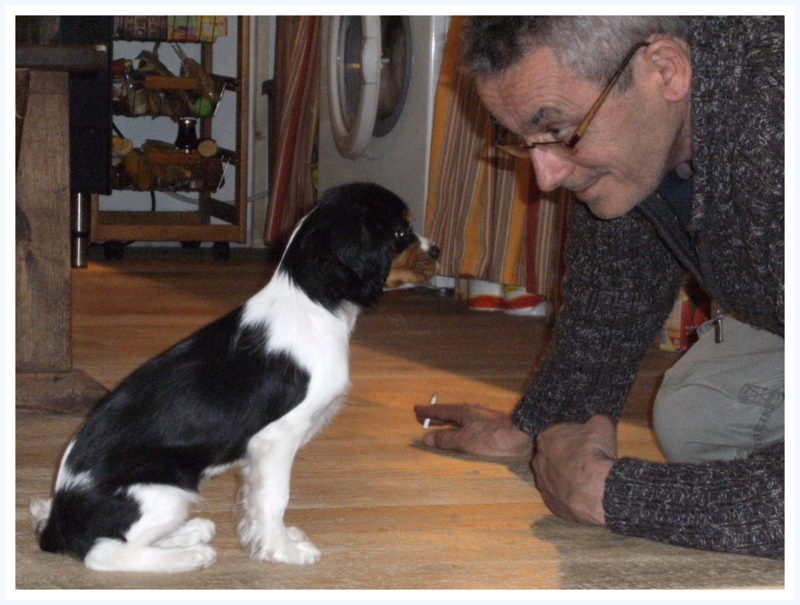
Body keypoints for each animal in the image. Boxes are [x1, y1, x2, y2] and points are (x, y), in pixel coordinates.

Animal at [31, 180, 440, 572]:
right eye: (401, 231)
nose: (437, 251)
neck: (312, 302)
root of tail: (60, 519)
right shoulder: (277, 439)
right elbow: (276, 498)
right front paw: (284, 552)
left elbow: (257, 502)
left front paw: (274, 539)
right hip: (165, 492)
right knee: (104, 552)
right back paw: (190, 556)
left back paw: (190, 533)